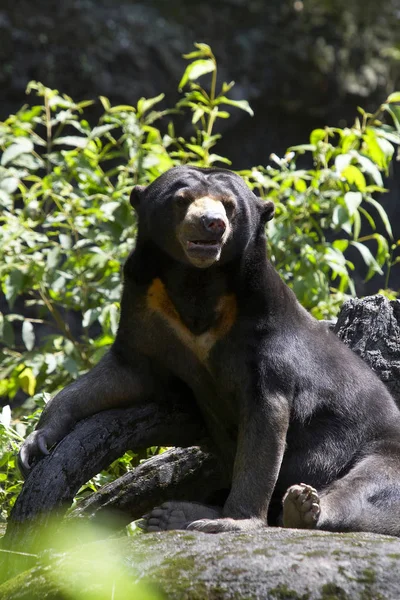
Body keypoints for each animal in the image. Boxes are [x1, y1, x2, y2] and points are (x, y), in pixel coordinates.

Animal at [19, 165, 400, 536]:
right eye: (182, 199)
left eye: (229, 206)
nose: (212, 224)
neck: (198, 281)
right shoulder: (146, 307)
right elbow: (122, 374)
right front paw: (35, 445)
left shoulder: (266, 337)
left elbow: (265, 426)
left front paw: (233, 521)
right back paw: (171, 514)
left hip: (381, 451)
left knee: (364, 486)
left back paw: (302, 507)